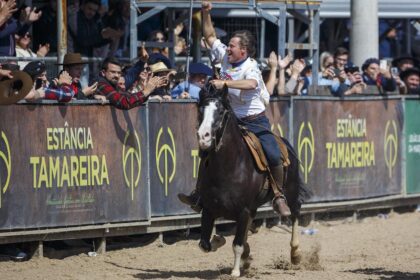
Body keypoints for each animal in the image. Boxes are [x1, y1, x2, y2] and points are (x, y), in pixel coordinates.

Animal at [195, 84, 310, 276]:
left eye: (221, 111)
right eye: (201, 109)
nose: (203, 136)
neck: (230, 166)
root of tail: (285, 143)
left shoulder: (243, 210)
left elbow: (237, 244)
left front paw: (235, 271)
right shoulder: (209, 209)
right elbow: (204, 244)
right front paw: (222, 242)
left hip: (291, 190)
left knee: (295, 213)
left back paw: (295, 254)